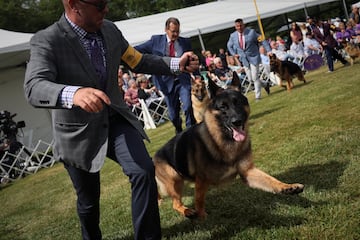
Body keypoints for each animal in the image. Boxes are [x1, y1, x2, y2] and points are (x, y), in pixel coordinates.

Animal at [152, 75, 304, 219]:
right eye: (223, 107)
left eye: (238, 103)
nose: (237, 122)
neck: (223, 140)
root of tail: (154, 156)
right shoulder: (201, 181)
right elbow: (199, 201)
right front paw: (203, 217)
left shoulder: (248, 172)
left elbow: (270, 180)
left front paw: (287, 187)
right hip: (175, 180)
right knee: (175, 203)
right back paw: (187, 211)